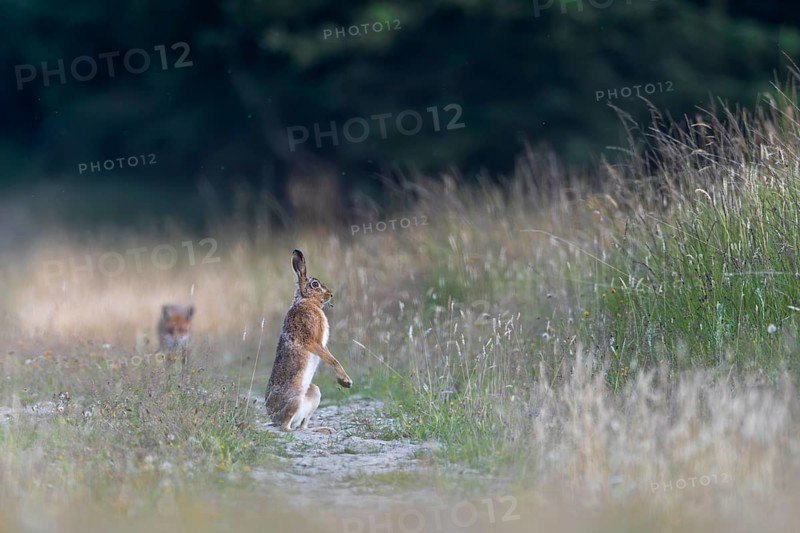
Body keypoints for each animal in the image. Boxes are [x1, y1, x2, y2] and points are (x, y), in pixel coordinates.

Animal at [265, 249, 352, 433]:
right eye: (314, 284)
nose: (330, 294)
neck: (306, 300)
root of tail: (272, 418)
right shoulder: (313, 341)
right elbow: (332, 360)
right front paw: (345, 381)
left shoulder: (321, 345)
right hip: (294, 399)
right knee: (286, 428)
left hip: (315, 393)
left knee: (301, 426)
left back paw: (323, 430)